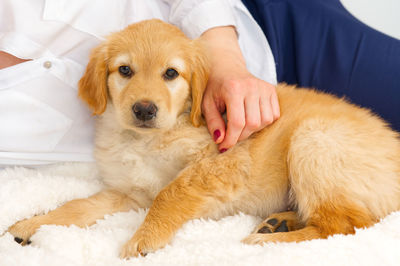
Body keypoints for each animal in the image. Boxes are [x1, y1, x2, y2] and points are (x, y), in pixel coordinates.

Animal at [9, 19, 400, 258]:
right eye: (124, 70)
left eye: (171, 74)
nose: (144, 109)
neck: (147, 140)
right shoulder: (129, 193)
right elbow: (80, 206)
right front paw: (33, 223)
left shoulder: (222, 163)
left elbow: (170, 194)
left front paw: (144, 239)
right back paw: (279, 222)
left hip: (314, 139)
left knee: (345, 225)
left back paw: (269, 240)